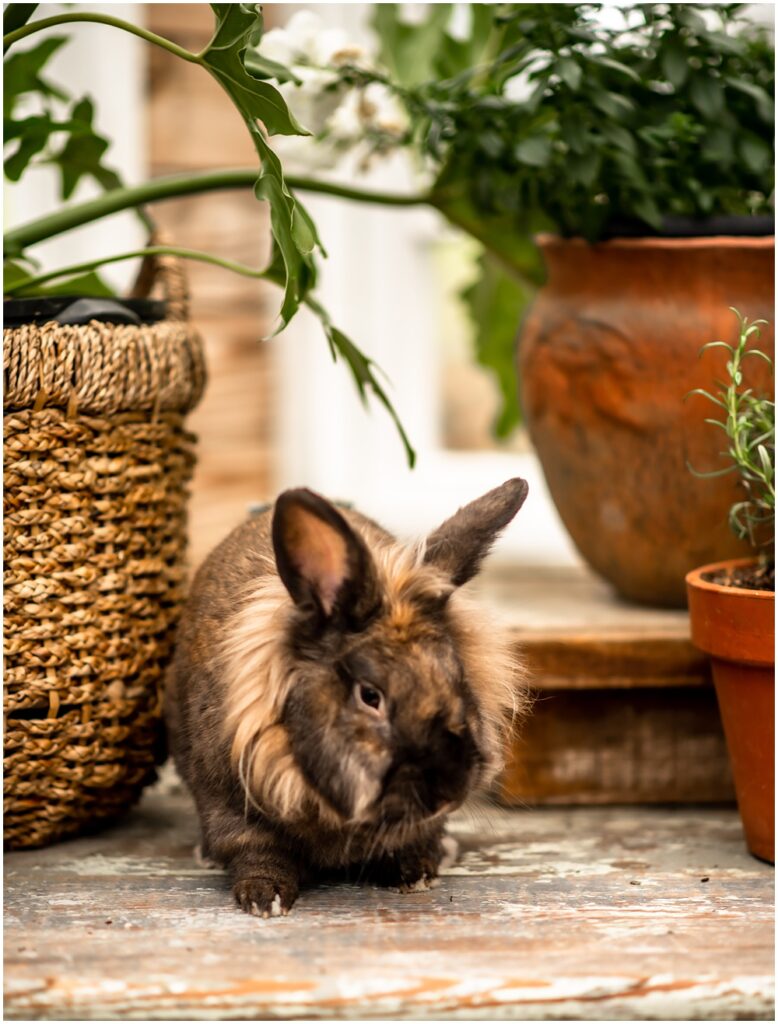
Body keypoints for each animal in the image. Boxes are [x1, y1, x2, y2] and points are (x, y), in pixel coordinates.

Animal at [163, 479, 528, 921]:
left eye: (458, 677)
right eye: (370, 696)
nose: (449, 791)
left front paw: (418, 872)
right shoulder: (233, 811)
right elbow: (259, 854)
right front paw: (265, 898)